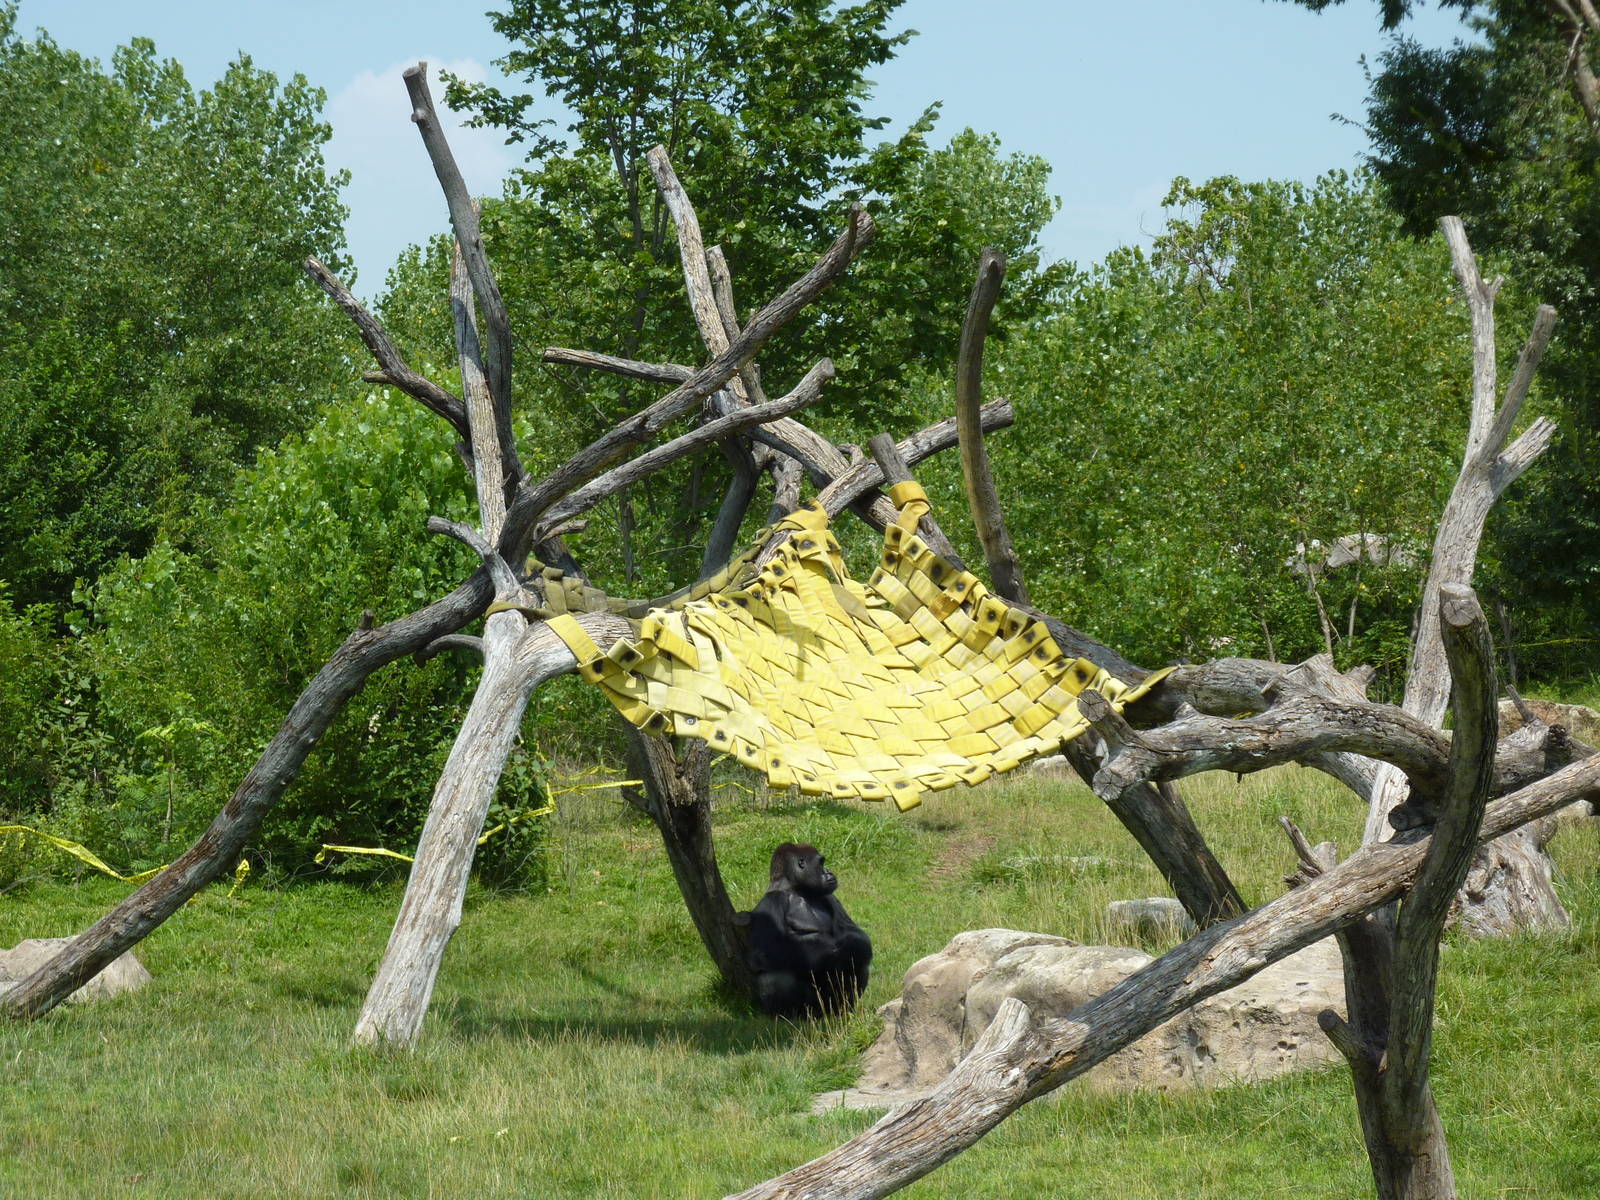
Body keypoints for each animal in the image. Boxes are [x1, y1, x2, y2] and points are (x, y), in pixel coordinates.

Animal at [742, 842, 872, 1018]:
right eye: (821, 863)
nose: (829, 871)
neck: (796, 889)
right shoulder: (770, 903)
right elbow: (766, 952)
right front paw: (831, 954)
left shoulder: (831, 897)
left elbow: (855, 935)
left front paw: (845, 947)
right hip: (812, 1007)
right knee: (773, 978)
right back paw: (788, 1016)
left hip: (830, 1004)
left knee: (860, 958)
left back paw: (844, 1010)